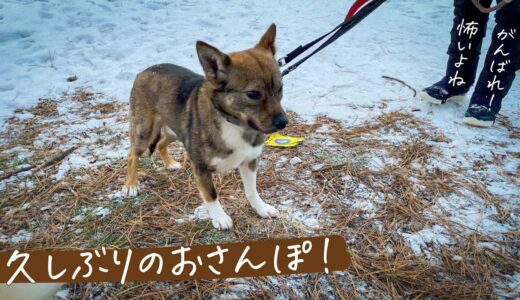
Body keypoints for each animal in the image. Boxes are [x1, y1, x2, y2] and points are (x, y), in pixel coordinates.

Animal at [123, 24, 288, 230]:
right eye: (253, 94)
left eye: (280, 88)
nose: (283, 122)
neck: (233, 123)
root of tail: (145, 71)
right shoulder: (201, 168)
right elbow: (211, 194)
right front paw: (219, 218)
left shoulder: (249, 161)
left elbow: (251, 190)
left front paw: (260, 208)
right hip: (145, 132)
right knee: (132, 155)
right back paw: (131, 185)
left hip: (176, 130)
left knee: (161, 143)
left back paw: (170, 163)